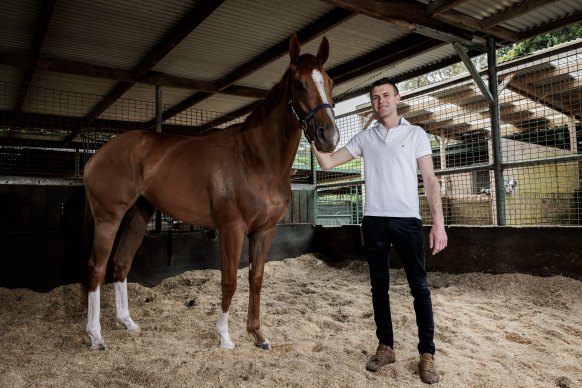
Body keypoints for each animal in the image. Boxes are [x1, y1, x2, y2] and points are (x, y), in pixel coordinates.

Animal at [81, 34, 338, 352]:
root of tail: (96, 156)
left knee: (120, 263)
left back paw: (127, 322)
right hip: (109, 218)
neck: (256, 158)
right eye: (299, 84)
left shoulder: (265, 230)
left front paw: (258, 335)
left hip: (136, 217)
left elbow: (256, 279)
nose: (329, 137)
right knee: (97, 268)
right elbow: (229, 280)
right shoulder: (232, 228)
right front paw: (225, 336)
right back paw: (95, 336)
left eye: (329, 81)